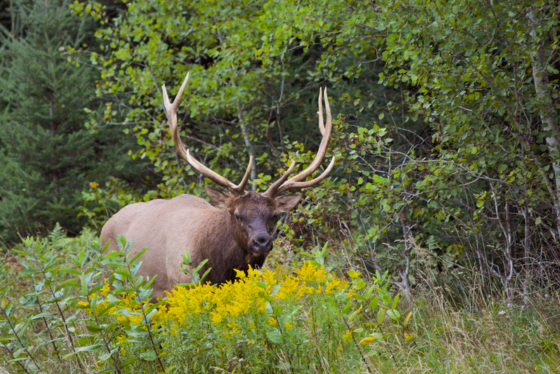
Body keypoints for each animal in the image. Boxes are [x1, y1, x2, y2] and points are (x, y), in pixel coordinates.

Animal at [100, 74, 334, 300]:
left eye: (273, 215)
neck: (219, 269)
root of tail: (105, 226)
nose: (262, 242)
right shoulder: (180, 284)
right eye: (237, 215)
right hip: (112, 281)